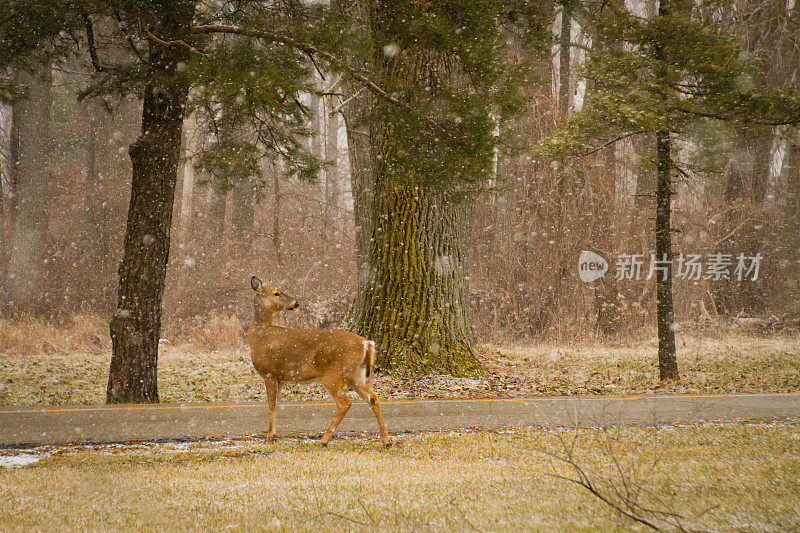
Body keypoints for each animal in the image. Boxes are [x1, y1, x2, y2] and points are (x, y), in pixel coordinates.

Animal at [247, 276, 390, 446]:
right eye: (276, 293)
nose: (296, 303)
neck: (260, 336)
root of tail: (367, 343)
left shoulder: (269, 372)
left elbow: (270, 403)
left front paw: (269, 437)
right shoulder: (281, 377)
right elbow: (276, 403)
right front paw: (273, 435)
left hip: (332, 374)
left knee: (345, 403)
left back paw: (323, 440)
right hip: (358, 376)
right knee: (373, 398)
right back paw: (386, 441)